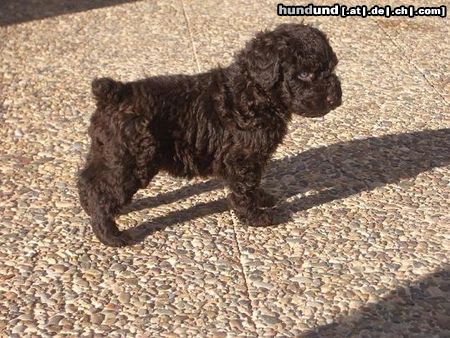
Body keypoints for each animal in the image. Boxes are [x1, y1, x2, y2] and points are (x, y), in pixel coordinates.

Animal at [78, 23, 342, 246]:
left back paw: (88, 209)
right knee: (102, 192)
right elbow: (244, 189)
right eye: (304, 74)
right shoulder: (243, 160)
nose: (335, 98)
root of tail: (115, 92)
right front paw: (255, 217)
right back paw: (111, 235)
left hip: (107, 152)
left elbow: (254, 185)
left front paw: (262, 199)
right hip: (132, 162)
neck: (254, 92)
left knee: (87, 179)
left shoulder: (252, 160)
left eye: (332, 68)